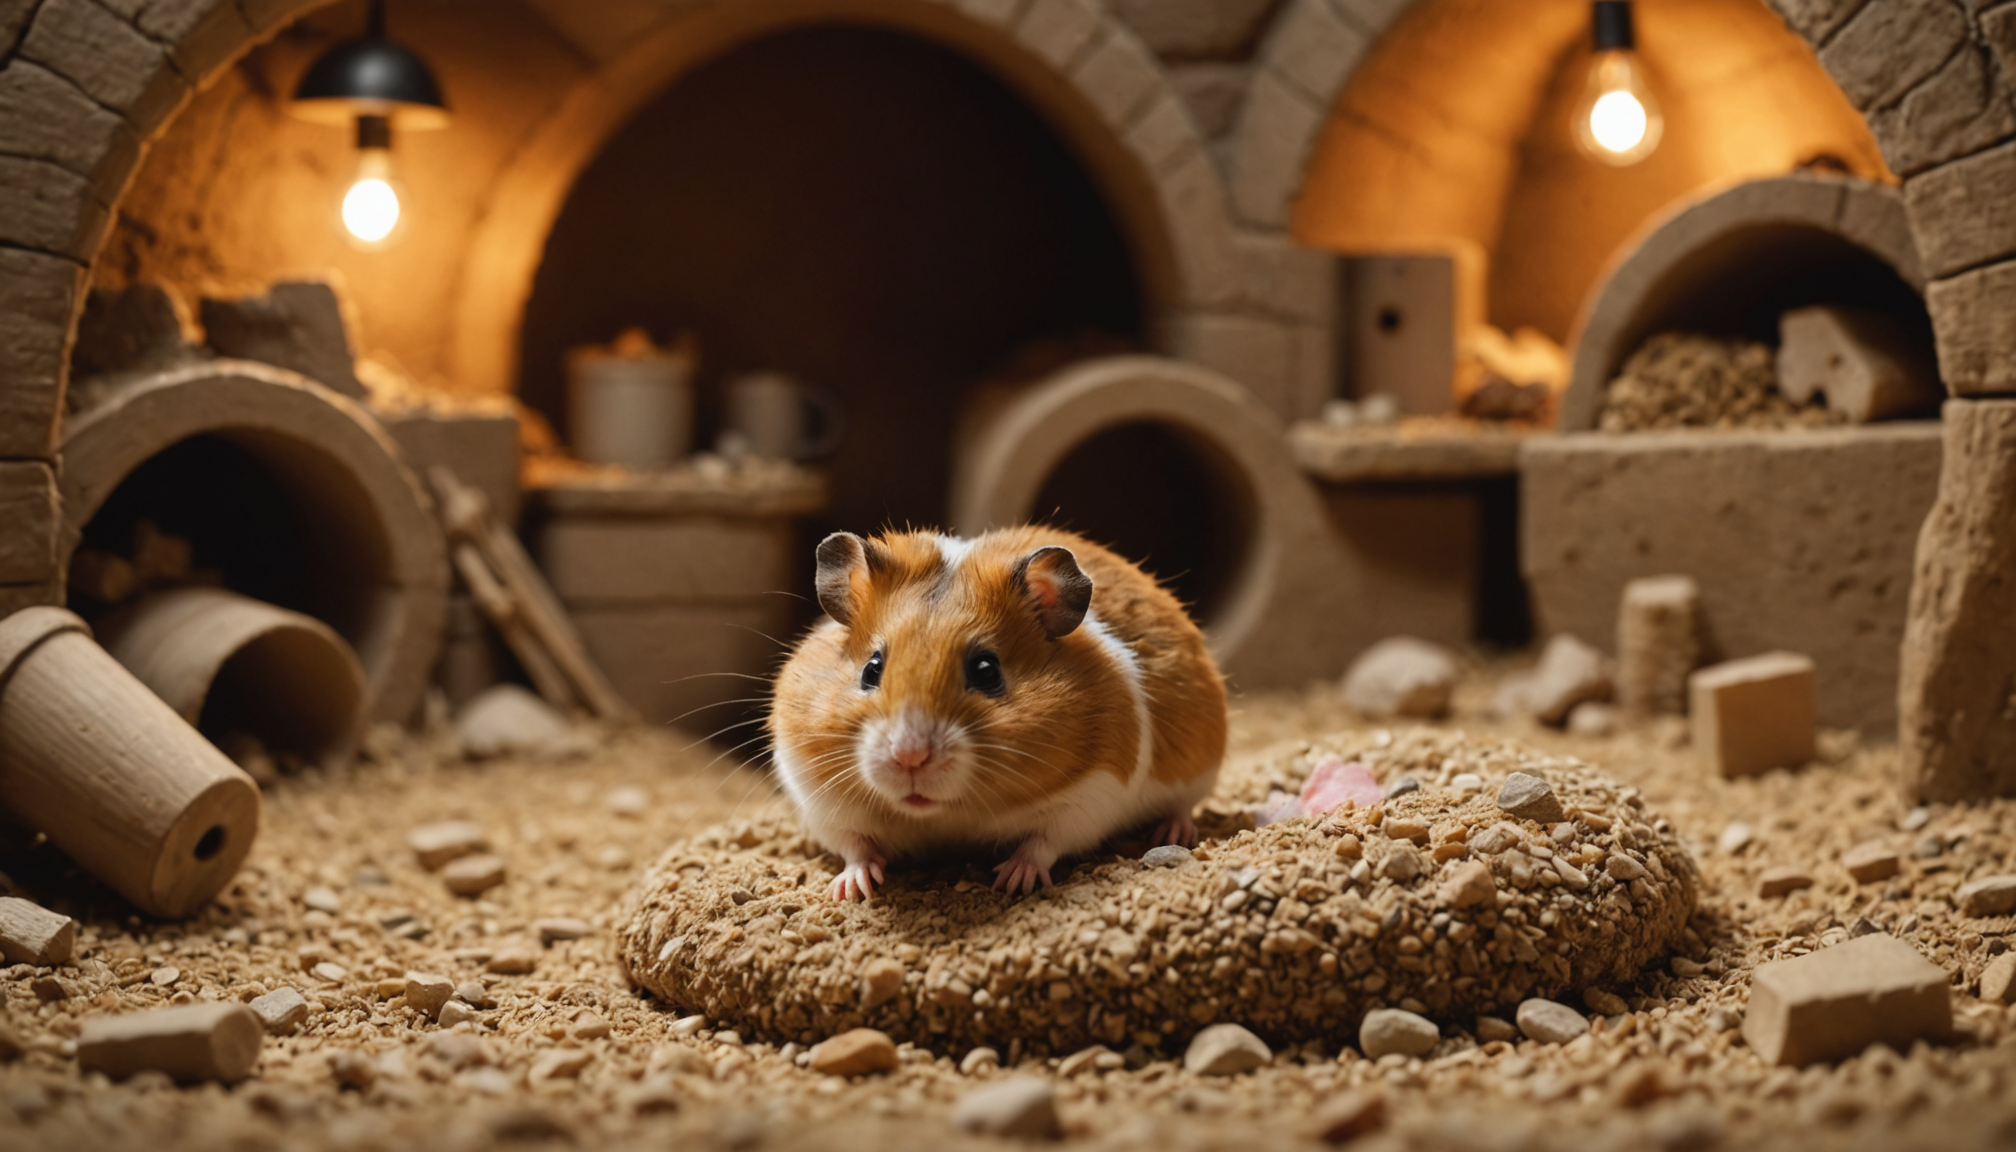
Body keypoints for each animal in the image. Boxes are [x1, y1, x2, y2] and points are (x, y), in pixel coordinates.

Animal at [770, 526, 1227, 901]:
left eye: (987, 671)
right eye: (871, 669)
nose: (910, 759)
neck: (942, 813)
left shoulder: (1091, 796)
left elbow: (1043, 843)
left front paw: (1010, 881)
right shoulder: (819, 796)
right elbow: (854, 846)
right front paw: (851, 889)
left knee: (1183, 806)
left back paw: (1174, 831)